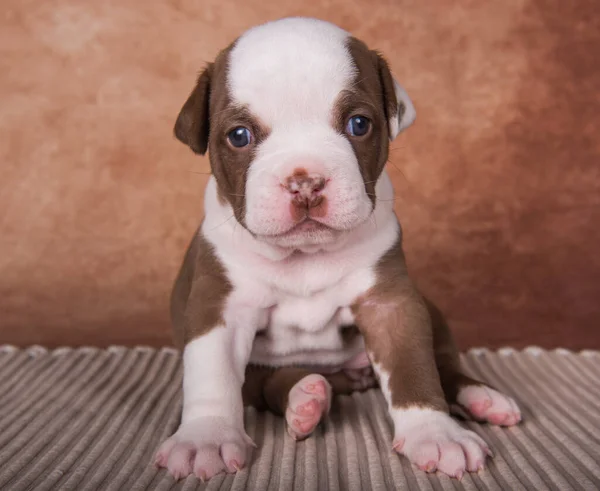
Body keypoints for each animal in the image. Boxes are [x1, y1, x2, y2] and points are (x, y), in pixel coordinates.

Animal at [155, 18, 520, 480]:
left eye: (359, 124)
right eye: (239, 135)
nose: (305, 182)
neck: (305, 256)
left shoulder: (392, 305)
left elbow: (414, 366)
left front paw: (435, 434)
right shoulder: (219, 308)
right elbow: (212, 374)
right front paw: (207, 438)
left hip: (431, 309)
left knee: (445, 364)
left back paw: (481, 397)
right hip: (265, 374)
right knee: (268, 384)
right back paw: (305, 400)